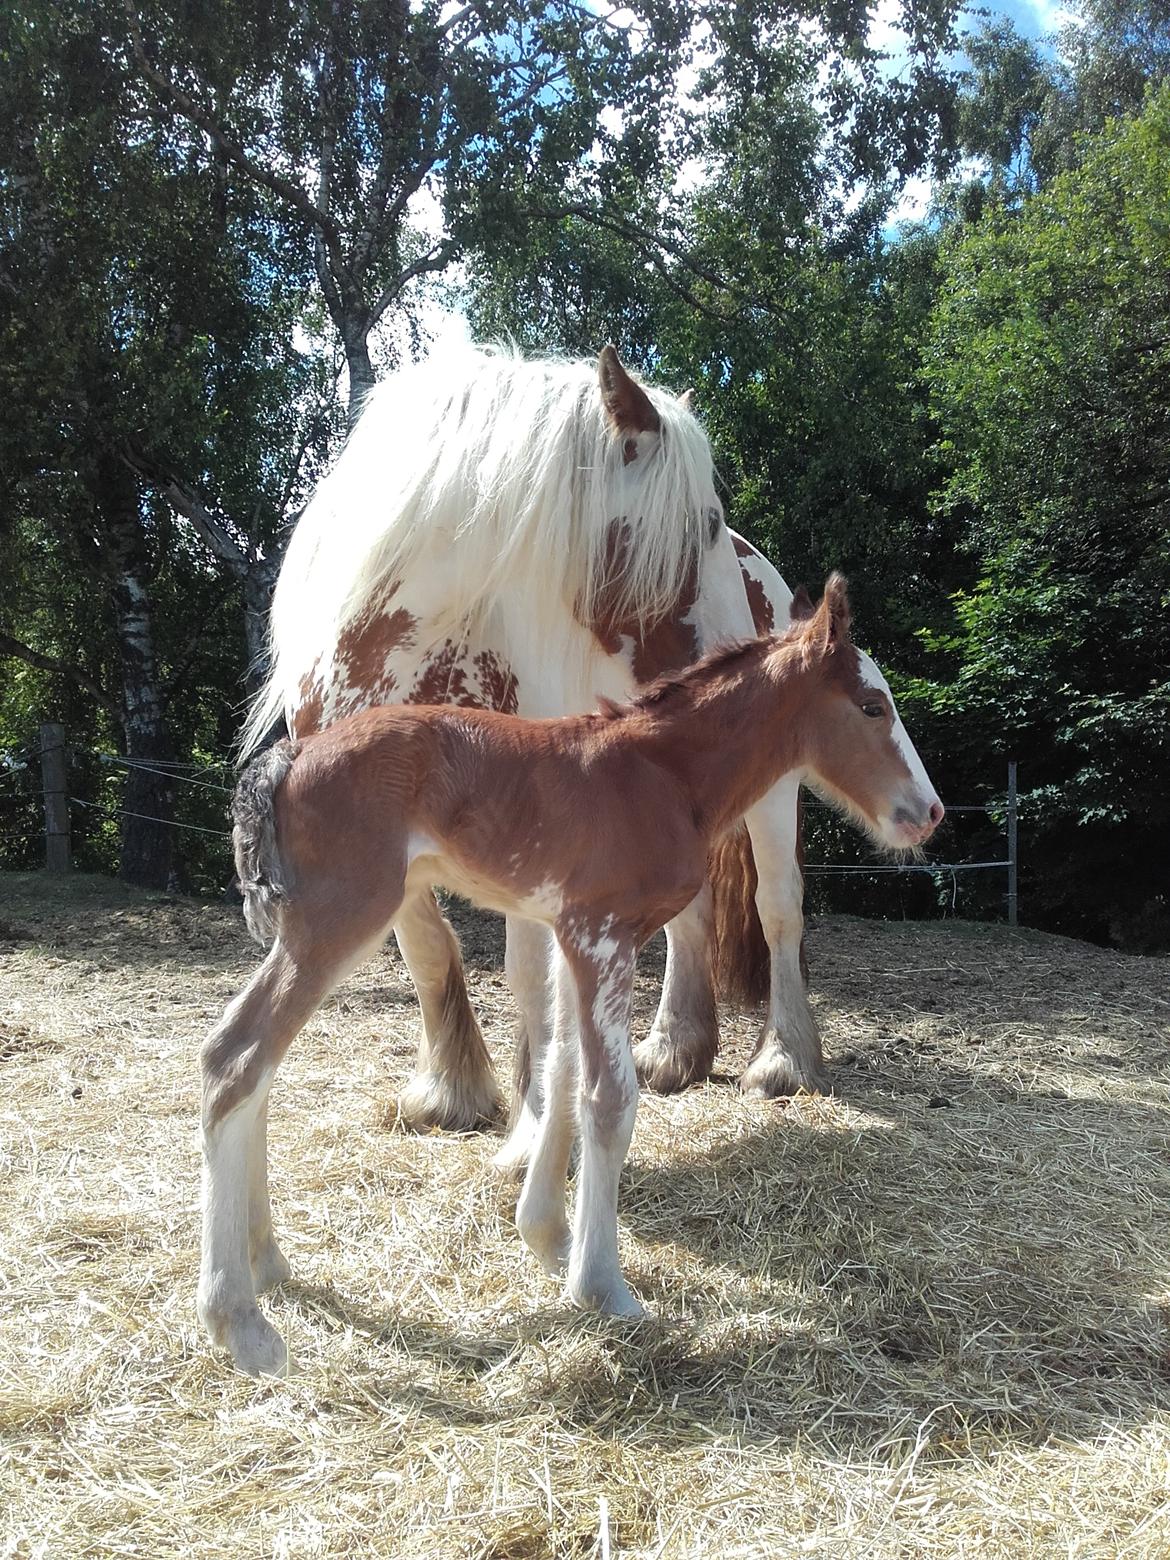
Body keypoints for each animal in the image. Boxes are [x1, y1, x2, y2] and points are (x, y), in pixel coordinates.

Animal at [199, 574, 942, 1366]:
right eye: (872, 706)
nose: (930, 811)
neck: (662, 774)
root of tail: (288, 758)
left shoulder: (568, 936)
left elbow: (557, 1069)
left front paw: (548, 1236)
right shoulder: (601, 936)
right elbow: (608, 1100)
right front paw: (603, 1287)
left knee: (256, 1071)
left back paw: (269, 1264)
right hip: (338, 920)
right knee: (234, 1057)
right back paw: (240, 1320)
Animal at [238, 344, 823, 1148]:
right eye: (705, 522)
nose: (761, 665)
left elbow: (528, 973)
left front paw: (533, 1118)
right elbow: (424, 943)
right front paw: (453, 1090)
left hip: (769, 798)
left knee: (778, 905)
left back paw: (784, 1058)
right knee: (693, 915)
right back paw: (676, 1049)